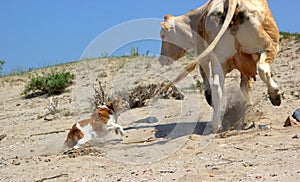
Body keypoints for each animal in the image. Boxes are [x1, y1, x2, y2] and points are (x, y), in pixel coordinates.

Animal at [159, 0, 282, 132]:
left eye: (163, 35)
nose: (161, 59)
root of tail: (230, 2)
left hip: (219, 59)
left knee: (217, 85)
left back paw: (216, 124)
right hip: (269, 45)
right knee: (263, 68)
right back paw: (275, 95)